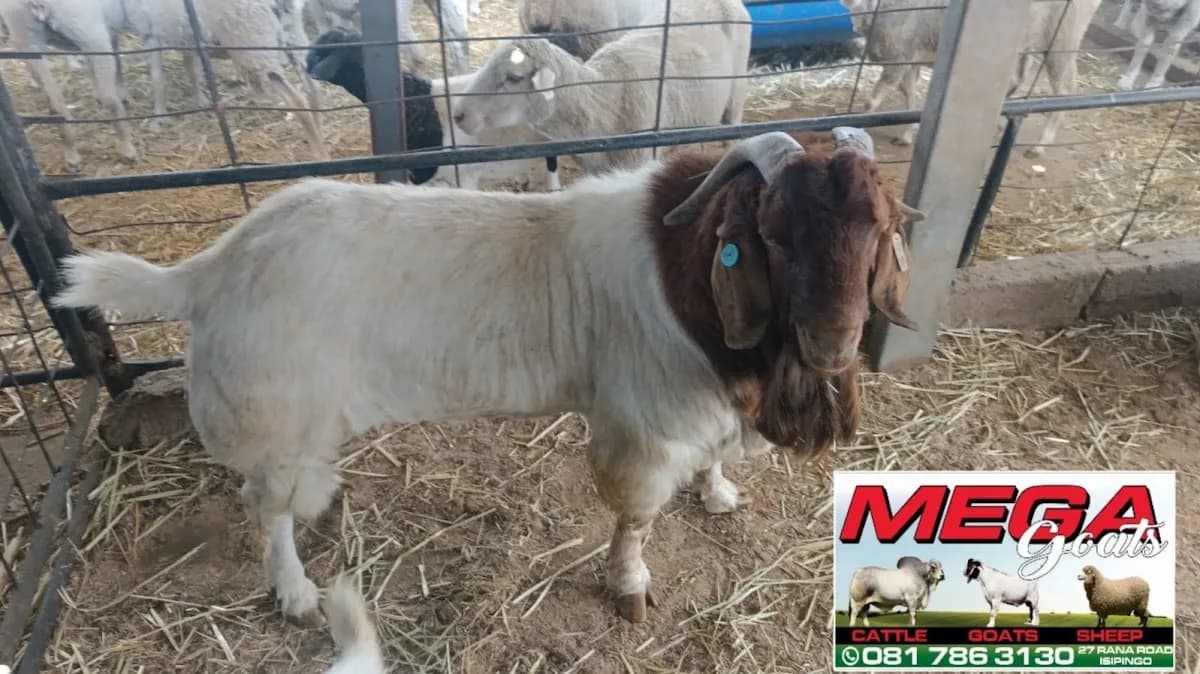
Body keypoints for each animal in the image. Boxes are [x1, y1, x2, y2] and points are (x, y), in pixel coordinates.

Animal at [53, 127, 924, 624]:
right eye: (771, 235)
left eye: (878, 228)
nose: (833, 342)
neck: (686, 268)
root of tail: (210, 268)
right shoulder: (643, 423)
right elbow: (636, 517)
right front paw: (629, 588)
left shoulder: (707, 404)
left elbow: (712, 459)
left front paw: (718, 492)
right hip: (275, 419)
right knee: (264, 510)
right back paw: (295, 594)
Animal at [839, 0, 1101, 156]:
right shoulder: (909, 59)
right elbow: (910, 96)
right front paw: (906, 136)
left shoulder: (899, 55)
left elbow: (872, 102)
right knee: (1018, 79)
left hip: (1063, 40)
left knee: (1065, 88)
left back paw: (1039, 145)